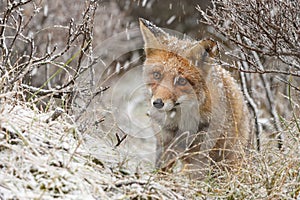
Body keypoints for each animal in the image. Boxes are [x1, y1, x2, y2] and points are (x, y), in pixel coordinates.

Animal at [139, 18, 252, 177]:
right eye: (157, 75)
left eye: (181, 81)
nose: (158, 103)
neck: (178, 122)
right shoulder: (164, 143)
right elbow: (161, 171)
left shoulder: (201, 153)